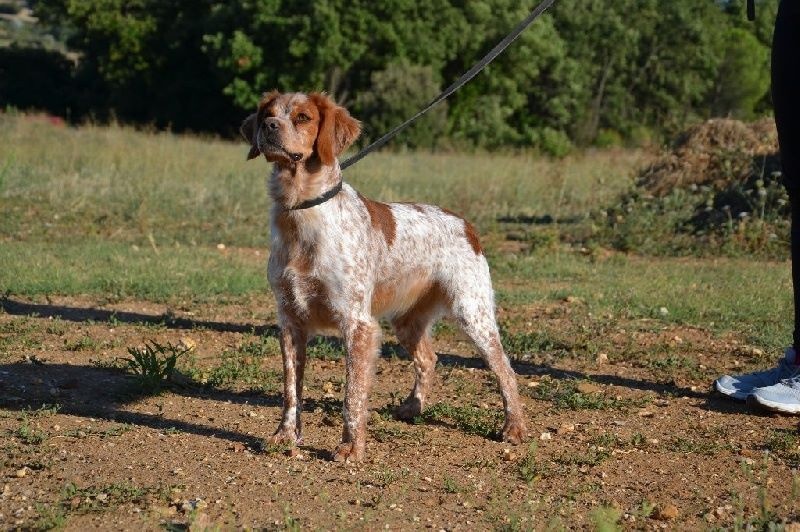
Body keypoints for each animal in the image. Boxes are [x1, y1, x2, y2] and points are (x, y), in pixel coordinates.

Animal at [240, 91, 526, 462]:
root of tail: (465, 223)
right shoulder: (290, 321)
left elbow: (352, 394)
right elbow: (291, 390)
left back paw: (514, 427)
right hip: (407, 322)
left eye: (303, 117)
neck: (302, 212)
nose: (270, 127)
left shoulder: (357, 323)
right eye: (267, 115)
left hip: (472, 313)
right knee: (429, 358)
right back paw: (412, 407)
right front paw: (285, 435)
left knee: (505, 368)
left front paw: (350, 448)